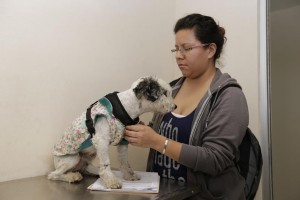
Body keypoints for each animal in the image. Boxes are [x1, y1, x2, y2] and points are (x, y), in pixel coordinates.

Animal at [47, 76, 176, 188]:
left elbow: (124, 161)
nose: (175, 106)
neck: (125, 107)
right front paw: (111, 181)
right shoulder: (101, 141)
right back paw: (72, 177)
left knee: (84, 169)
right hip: (72, 159)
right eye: (165, 93)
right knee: (53, 175)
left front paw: (129, 175)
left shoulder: (123, 141)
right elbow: (106, 164)